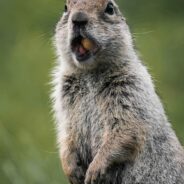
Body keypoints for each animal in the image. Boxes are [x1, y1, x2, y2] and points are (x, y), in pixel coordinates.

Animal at [51, 0, 184, 184]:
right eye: (65, 8)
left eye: (109, 8)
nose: (78, 18)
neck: (89, 72)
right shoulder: (63, 95)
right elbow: (66, 131)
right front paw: (71, 168)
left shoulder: (130, 88)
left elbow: (126, 128)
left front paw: (94, 170)